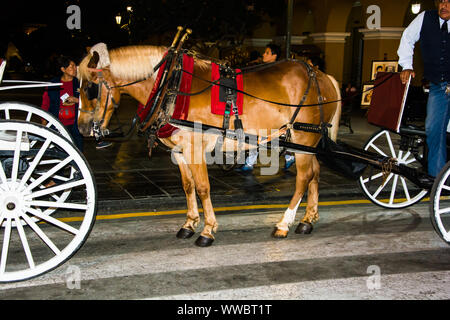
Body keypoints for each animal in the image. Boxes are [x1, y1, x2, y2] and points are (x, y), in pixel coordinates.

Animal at [79, 43, 342, 246]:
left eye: (91, 87)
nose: (82, 127)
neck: (169, 84)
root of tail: (321, 75)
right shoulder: (179, 152)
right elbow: (188, 187)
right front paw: (189, 224)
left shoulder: (195, 150)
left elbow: (203, 187)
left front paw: (207, 230)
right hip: (307, 142)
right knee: (315, 173)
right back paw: (307, 220)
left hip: (302, 138)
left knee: (303, 178)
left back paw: (284, 224)